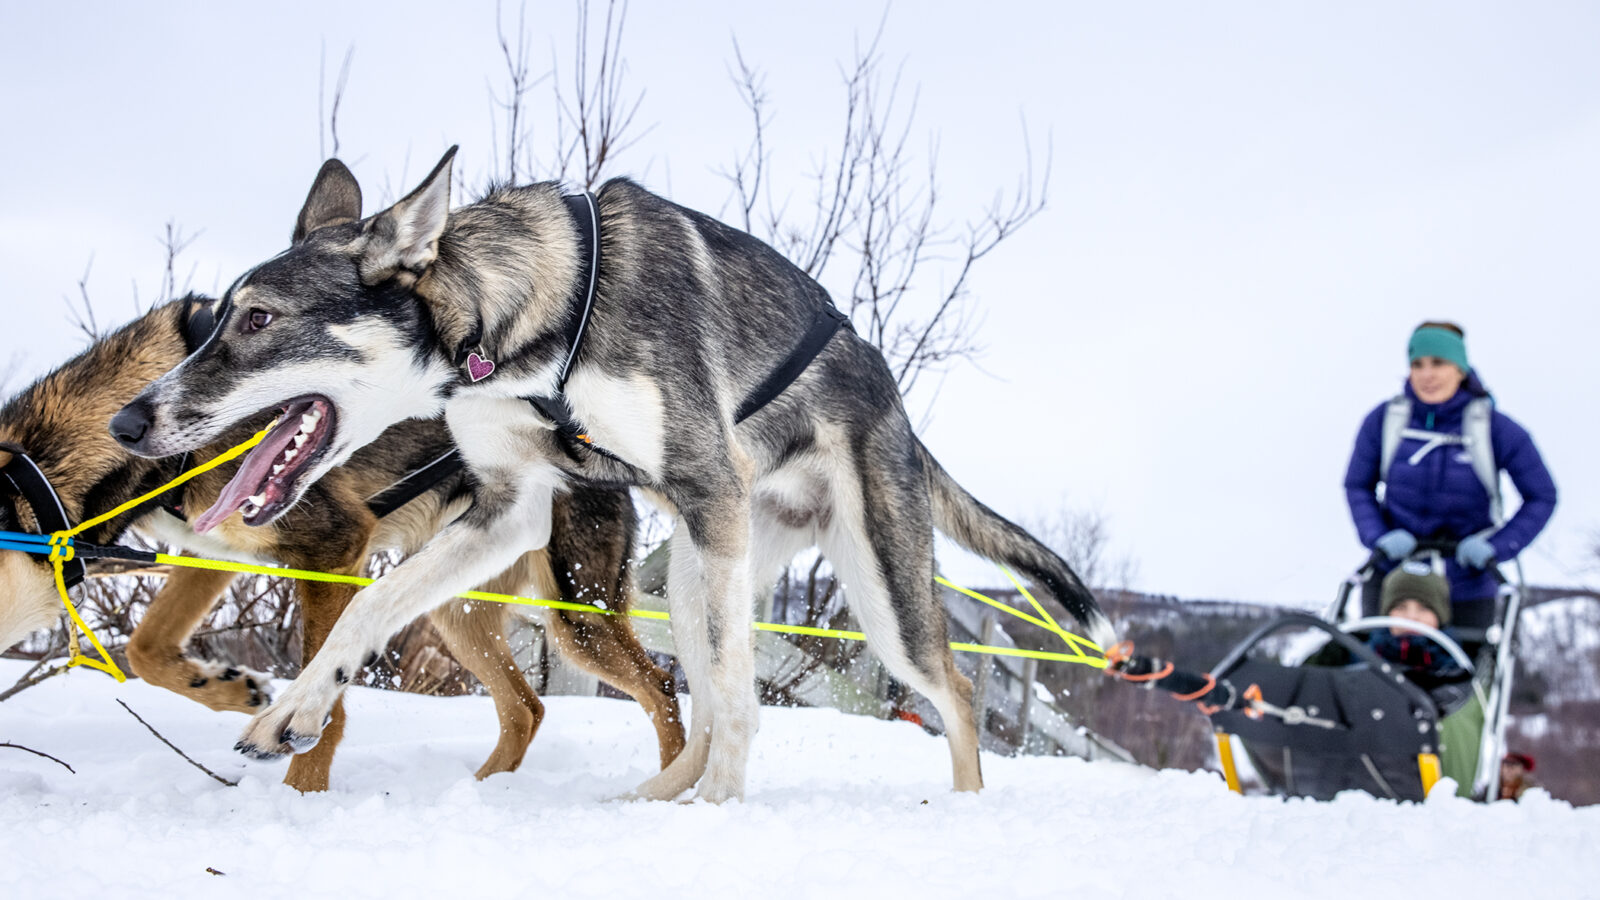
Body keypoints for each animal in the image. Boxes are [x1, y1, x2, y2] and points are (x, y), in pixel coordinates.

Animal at [0, 294, 681, 784]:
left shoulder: (331, 547)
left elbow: (325, 706)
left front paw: (301, 797)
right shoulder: (215, 547)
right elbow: (145, 648)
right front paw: (228, 689)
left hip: (576, 613)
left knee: (662, 690)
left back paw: (672, 789)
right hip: (456, 607)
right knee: (525, 707)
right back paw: (485, 791)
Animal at [116, 148, 1113, 797]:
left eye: (257, 319)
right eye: (217, 318)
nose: (132, 419)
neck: (534, 322)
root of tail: (893, 400)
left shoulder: (702, 486)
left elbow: (743, 701)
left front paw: (727, 816)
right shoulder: (508, 508)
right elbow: (370, 606)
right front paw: (293, 712)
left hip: (866, 589)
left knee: (948, 691)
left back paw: (956, 808)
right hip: (694, 575)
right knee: (695, 698)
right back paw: (655, 801)